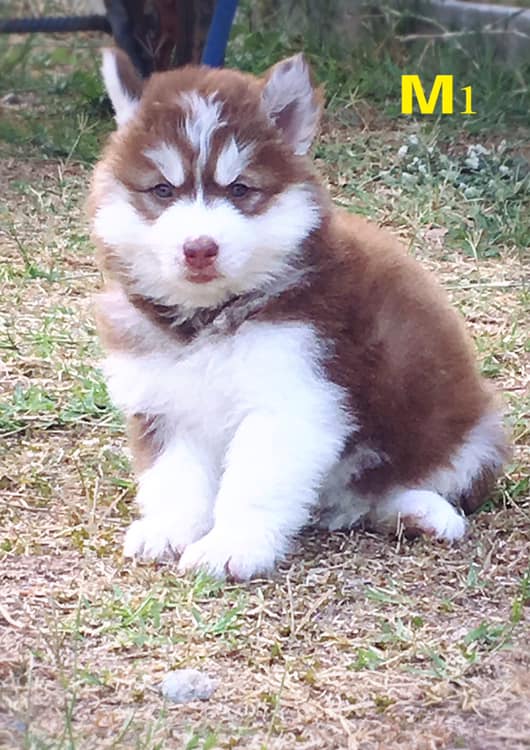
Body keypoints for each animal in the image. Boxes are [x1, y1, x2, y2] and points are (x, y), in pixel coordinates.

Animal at [88, 49, 509, 579]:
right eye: (163, 191)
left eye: (240, 190)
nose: (199, 248)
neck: (208, 318)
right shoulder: (162, 401)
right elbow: (174, 475)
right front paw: (169, 529)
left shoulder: (295, 397)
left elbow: (253, 484)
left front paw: (231, 545)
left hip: (468, 434)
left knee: (406, 483)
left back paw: (423, 512)